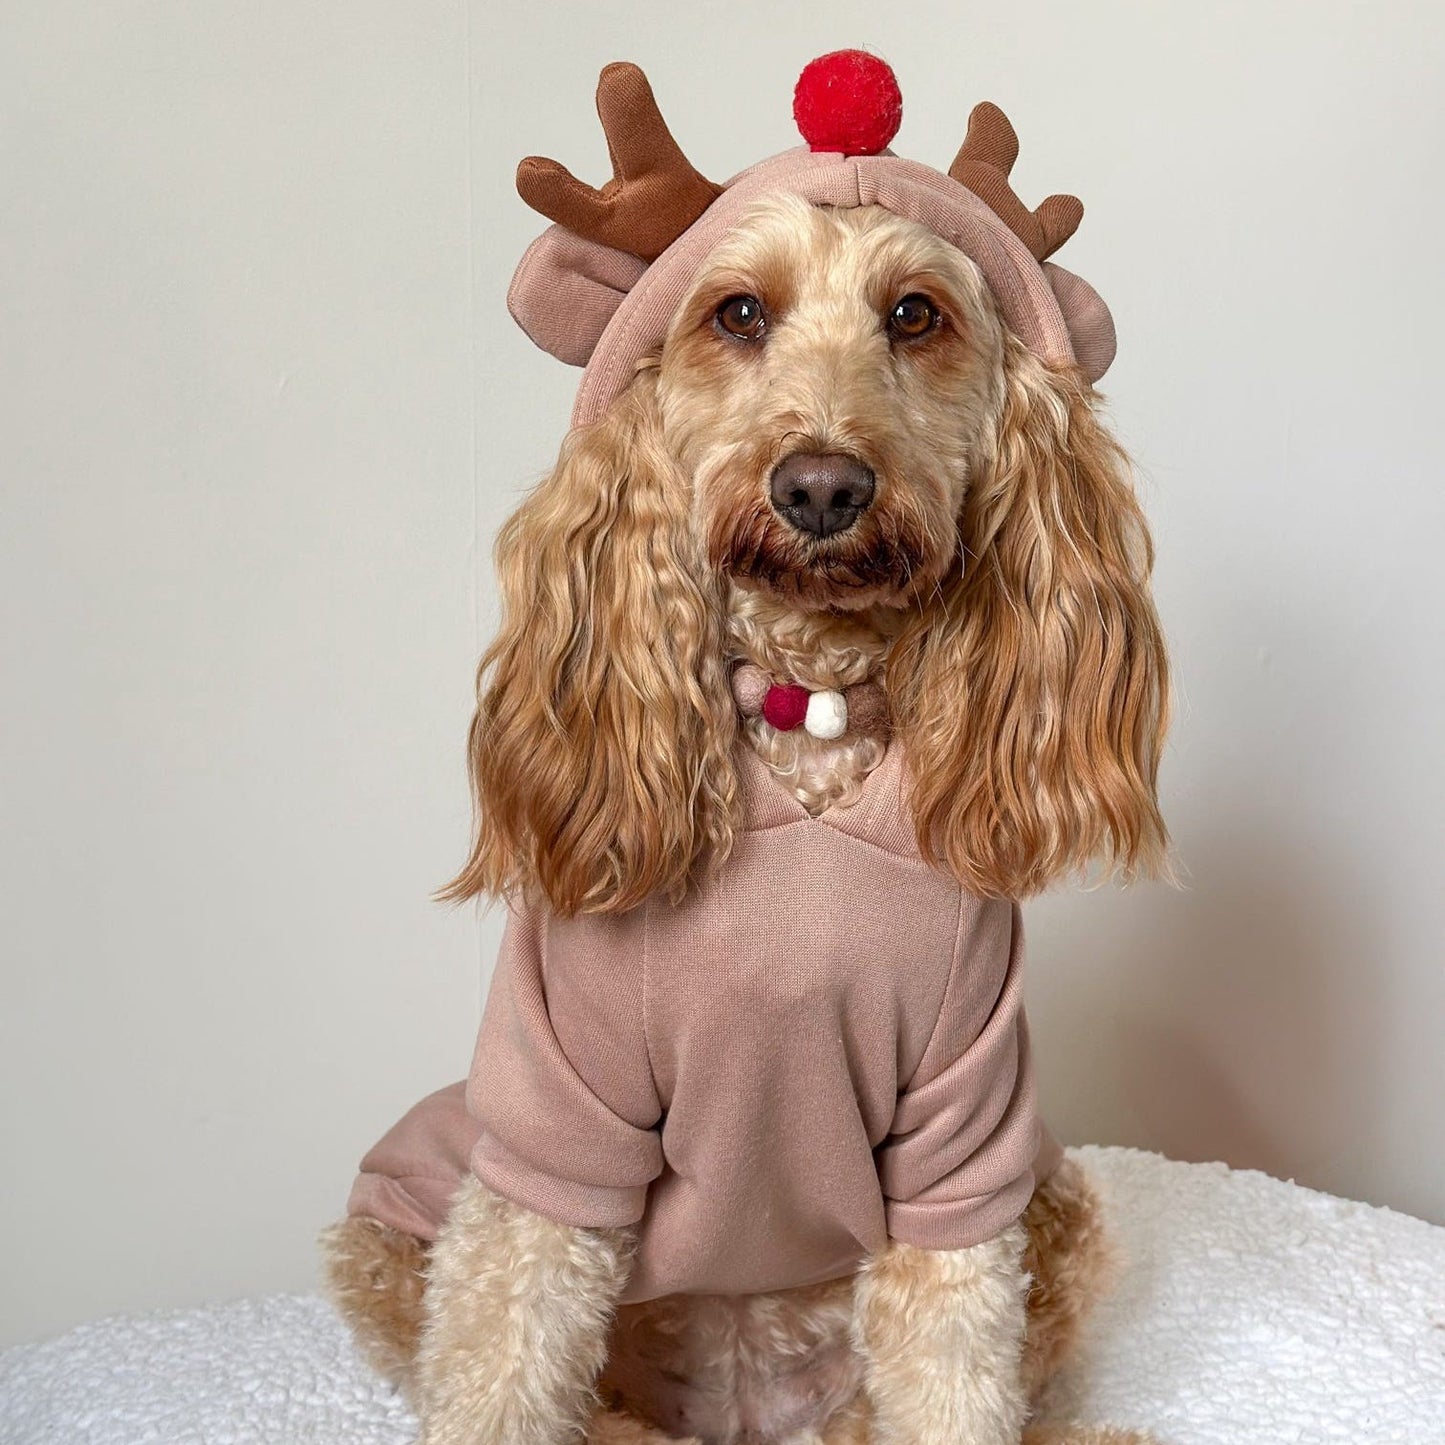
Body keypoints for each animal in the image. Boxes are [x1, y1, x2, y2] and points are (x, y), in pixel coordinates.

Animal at [322, 56, 1167, 1445]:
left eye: (915, 314)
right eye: (736, 313)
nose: (820, 486)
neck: (806, 701)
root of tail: (743, 1413)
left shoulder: (963, 1140)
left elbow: (956, 1373)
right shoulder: (553, 1130)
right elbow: (504, 1354)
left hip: (1058, 1199)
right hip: (389, 1227)